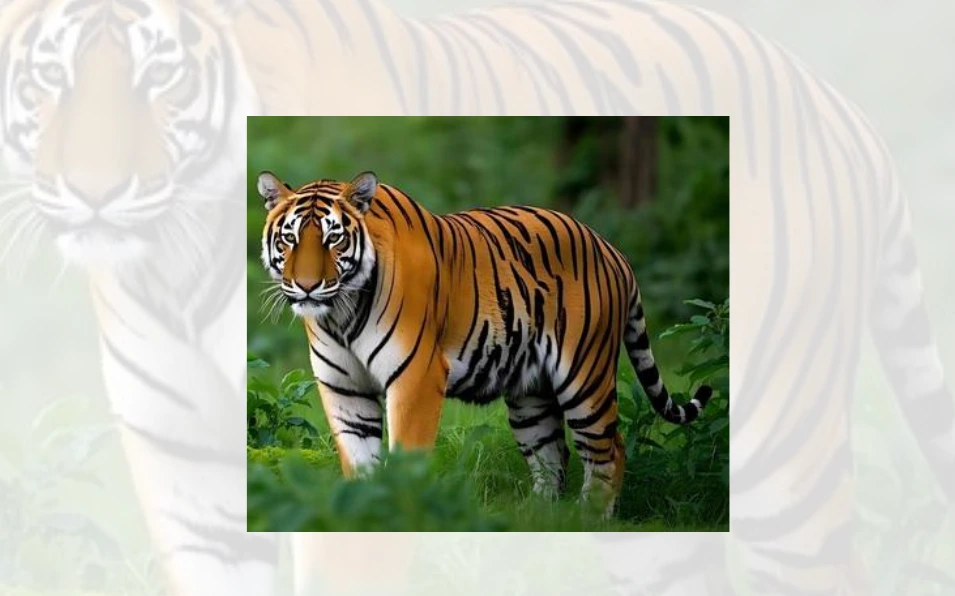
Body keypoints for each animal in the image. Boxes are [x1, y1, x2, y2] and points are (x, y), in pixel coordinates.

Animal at [256, 169, 714, 508]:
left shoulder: (416, 377)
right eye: (290, 238)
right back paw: (540, 520)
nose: (308, 286)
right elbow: (359, 463)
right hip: (530, 396)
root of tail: (612, 249)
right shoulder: (344, 388)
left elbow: (406, 459)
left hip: (585, 377)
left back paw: (589, 518)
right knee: (552, 456)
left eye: (333, 237)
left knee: (610, 451)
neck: (340, 315)